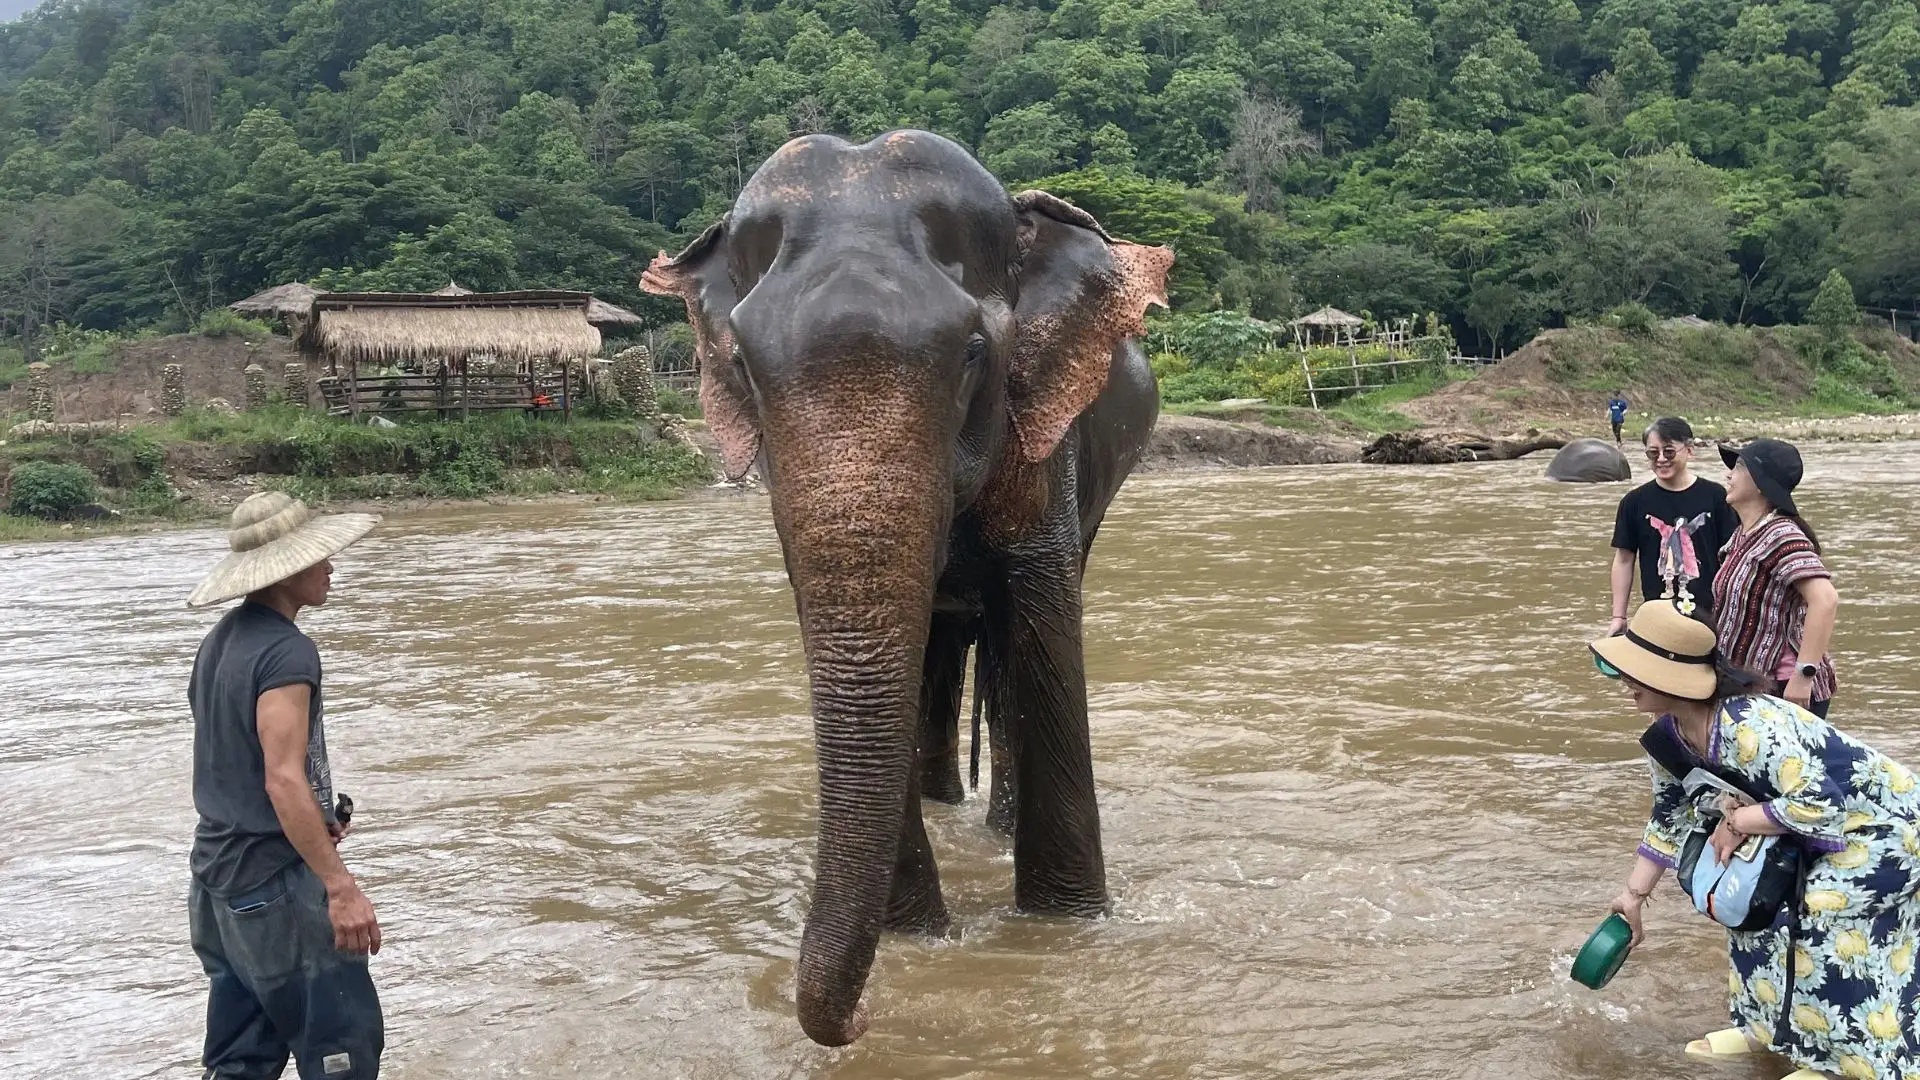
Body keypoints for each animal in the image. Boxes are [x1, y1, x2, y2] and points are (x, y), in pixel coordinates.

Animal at [639, 129, 1172, 1048]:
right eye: (742, 365)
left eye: (972, 355)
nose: (861, 1021)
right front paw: (921, 940)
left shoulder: (1043, 443)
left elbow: (1040, 623)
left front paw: (1065, 927)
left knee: (1005, 652)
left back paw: (993, 826)